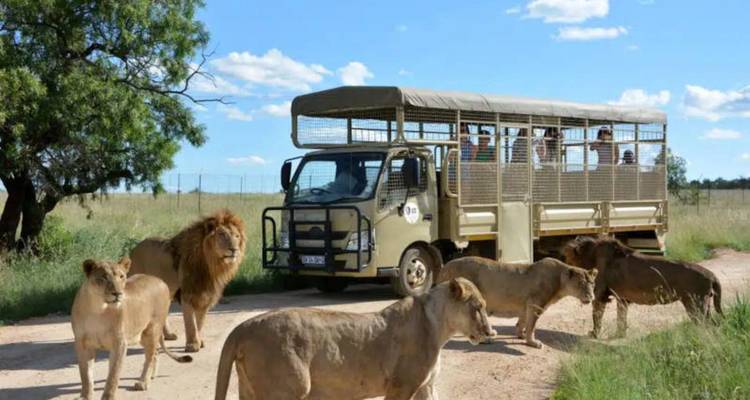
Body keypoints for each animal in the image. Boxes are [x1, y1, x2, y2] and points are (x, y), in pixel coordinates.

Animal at [71, 257, 192, 400]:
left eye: (122, 276)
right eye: (104, 277)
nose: (118, 293)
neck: (98, 308)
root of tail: (160, 280)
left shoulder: (119, 343)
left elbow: (113, 375)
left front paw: (108, 397)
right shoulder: (82, 343)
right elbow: (85, 374)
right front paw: (85, 396)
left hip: (152, 330)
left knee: (150, 356)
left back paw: (143, 382)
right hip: (141, 335)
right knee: (155, 353)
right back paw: (151, 376)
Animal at [129, 209, 246, 353]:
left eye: (236, 236)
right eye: (222, 235)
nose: (234, 249)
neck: (211, 265)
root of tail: (134, 249)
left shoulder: (205, 295)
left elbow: (200, 323)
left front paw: (199, 342)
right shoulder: (187, 294)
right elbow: (191, 323)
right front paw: (192, 345)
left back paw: (168, 335)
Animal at [214, 278, 495, 400]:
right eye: (478, 307)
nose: (490, 332)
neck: (439, 327)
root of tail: (244, 326)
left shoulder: (426, 386)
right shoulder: (401, 386)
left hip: (249, 389)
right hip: (289, 388)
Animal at [439, 256, 597, 348]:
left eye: (592, 284)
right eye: (581, 284)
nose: (591, 297)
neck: (559, 281)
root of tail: (445, 266)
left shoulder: (527, 304)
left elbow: (523, 321)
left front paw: (521, 334)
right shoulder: (536, 304)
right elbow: (532, 325)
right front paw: (532, 342)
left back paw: (491, 333)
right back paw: (486, 339)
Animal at [563, 236, 723, 338]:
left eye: (568, 256)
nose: (565, 265)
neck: (591, 254)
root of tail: (712, 275)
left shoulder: (599, 295)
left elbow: (597, 316)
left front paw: (594, 334)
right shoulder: (622, 298)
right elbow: (621, 317)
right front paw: (619, 335)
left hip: (695, 305)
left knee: (705, 325)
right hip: (704, 305)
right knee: (714, 324)